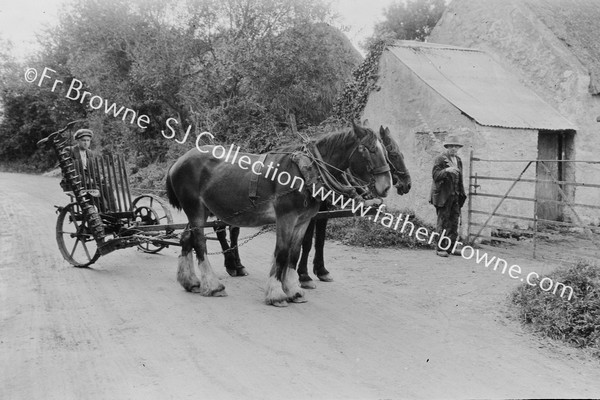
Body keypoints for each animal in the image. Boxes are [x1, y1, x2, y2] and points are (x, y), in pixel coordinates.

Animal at [166, 122, 392, 306]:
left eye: (385, 151)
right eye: (370, 150)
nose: (387, 186)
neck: (306, 171)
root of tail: (177, 161)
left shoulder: (303, 220)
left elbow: (294, 252)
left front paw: (293, 290)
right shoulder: (286, 217)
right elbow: (282, 252)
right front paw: (276, 293)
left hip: (201, 210)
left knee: (186, 238)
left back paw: (191, 281)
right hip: (194, 207)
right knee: (199, 242)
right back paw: (213, 285)